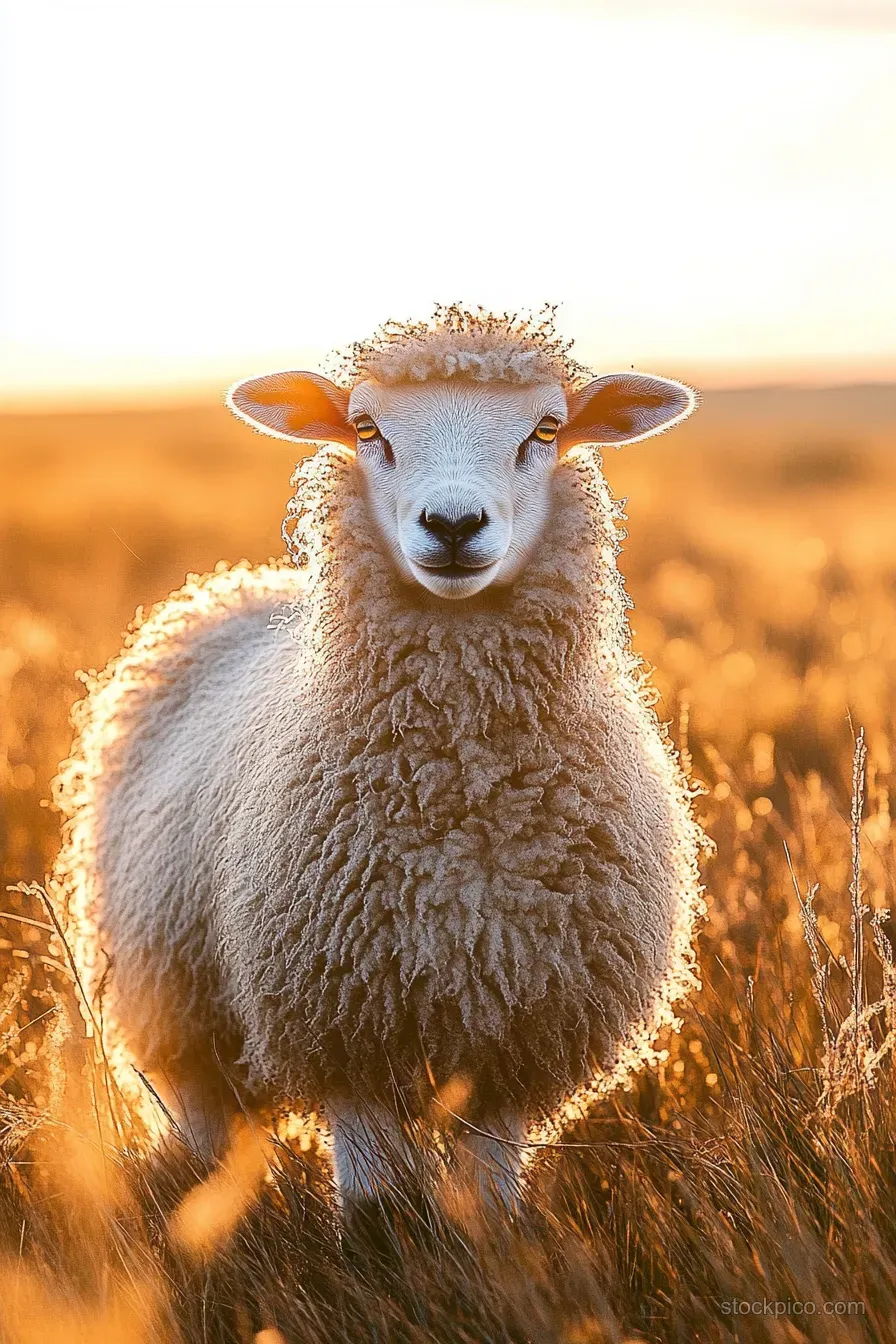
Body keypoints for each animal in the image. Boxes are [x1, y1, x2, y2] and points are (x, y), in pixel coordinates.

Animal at [52, 305, 706, 1217]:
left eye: (546, 429)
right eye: (368, 429)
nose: (454, 526)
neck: (461, 780)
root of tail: (235, 585)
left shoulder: (515, 1033)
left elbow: (491, 1196)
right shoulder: (344, 1024)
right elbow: (371, 1209)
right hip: (172, 994)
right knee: (205, 1120)